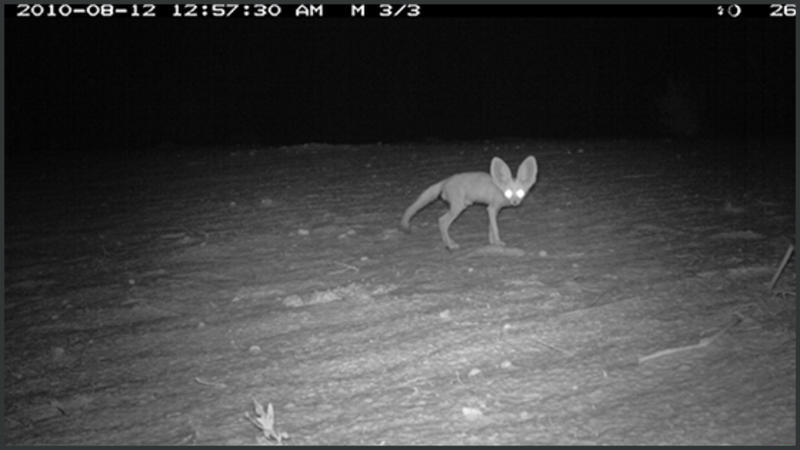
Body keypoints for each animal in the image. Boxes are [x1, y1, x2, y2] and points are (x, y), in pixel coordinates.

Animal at [400, 156, 536, 250]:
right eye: (508, 192)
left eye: (520, 192)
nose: (515, 202)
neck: (499, 188)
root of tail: (446, 180)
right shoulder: (492, 208)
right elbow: (496, 228)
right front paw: (498, 243)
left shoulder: (492, 209)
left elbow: (491, 228)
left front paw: (492, 242)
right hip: (458, 207)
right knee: (442, 221)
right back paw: (450, 245)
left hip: (461, 206)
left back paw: (449, 243)